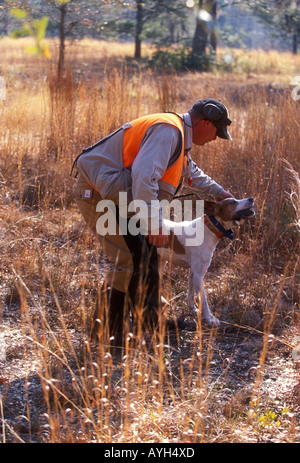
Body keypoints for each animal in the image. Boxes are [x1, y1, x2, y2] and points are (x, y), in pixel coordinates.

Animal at [158, 197, 254, 326]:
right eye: (233, 202)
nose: (251, 198)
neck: (209, 228)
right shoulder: (198, 275)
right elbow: (203, 300)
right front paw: (209, 318)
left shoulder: (193, 272)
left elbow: (191, 294)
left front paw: (192, 309)